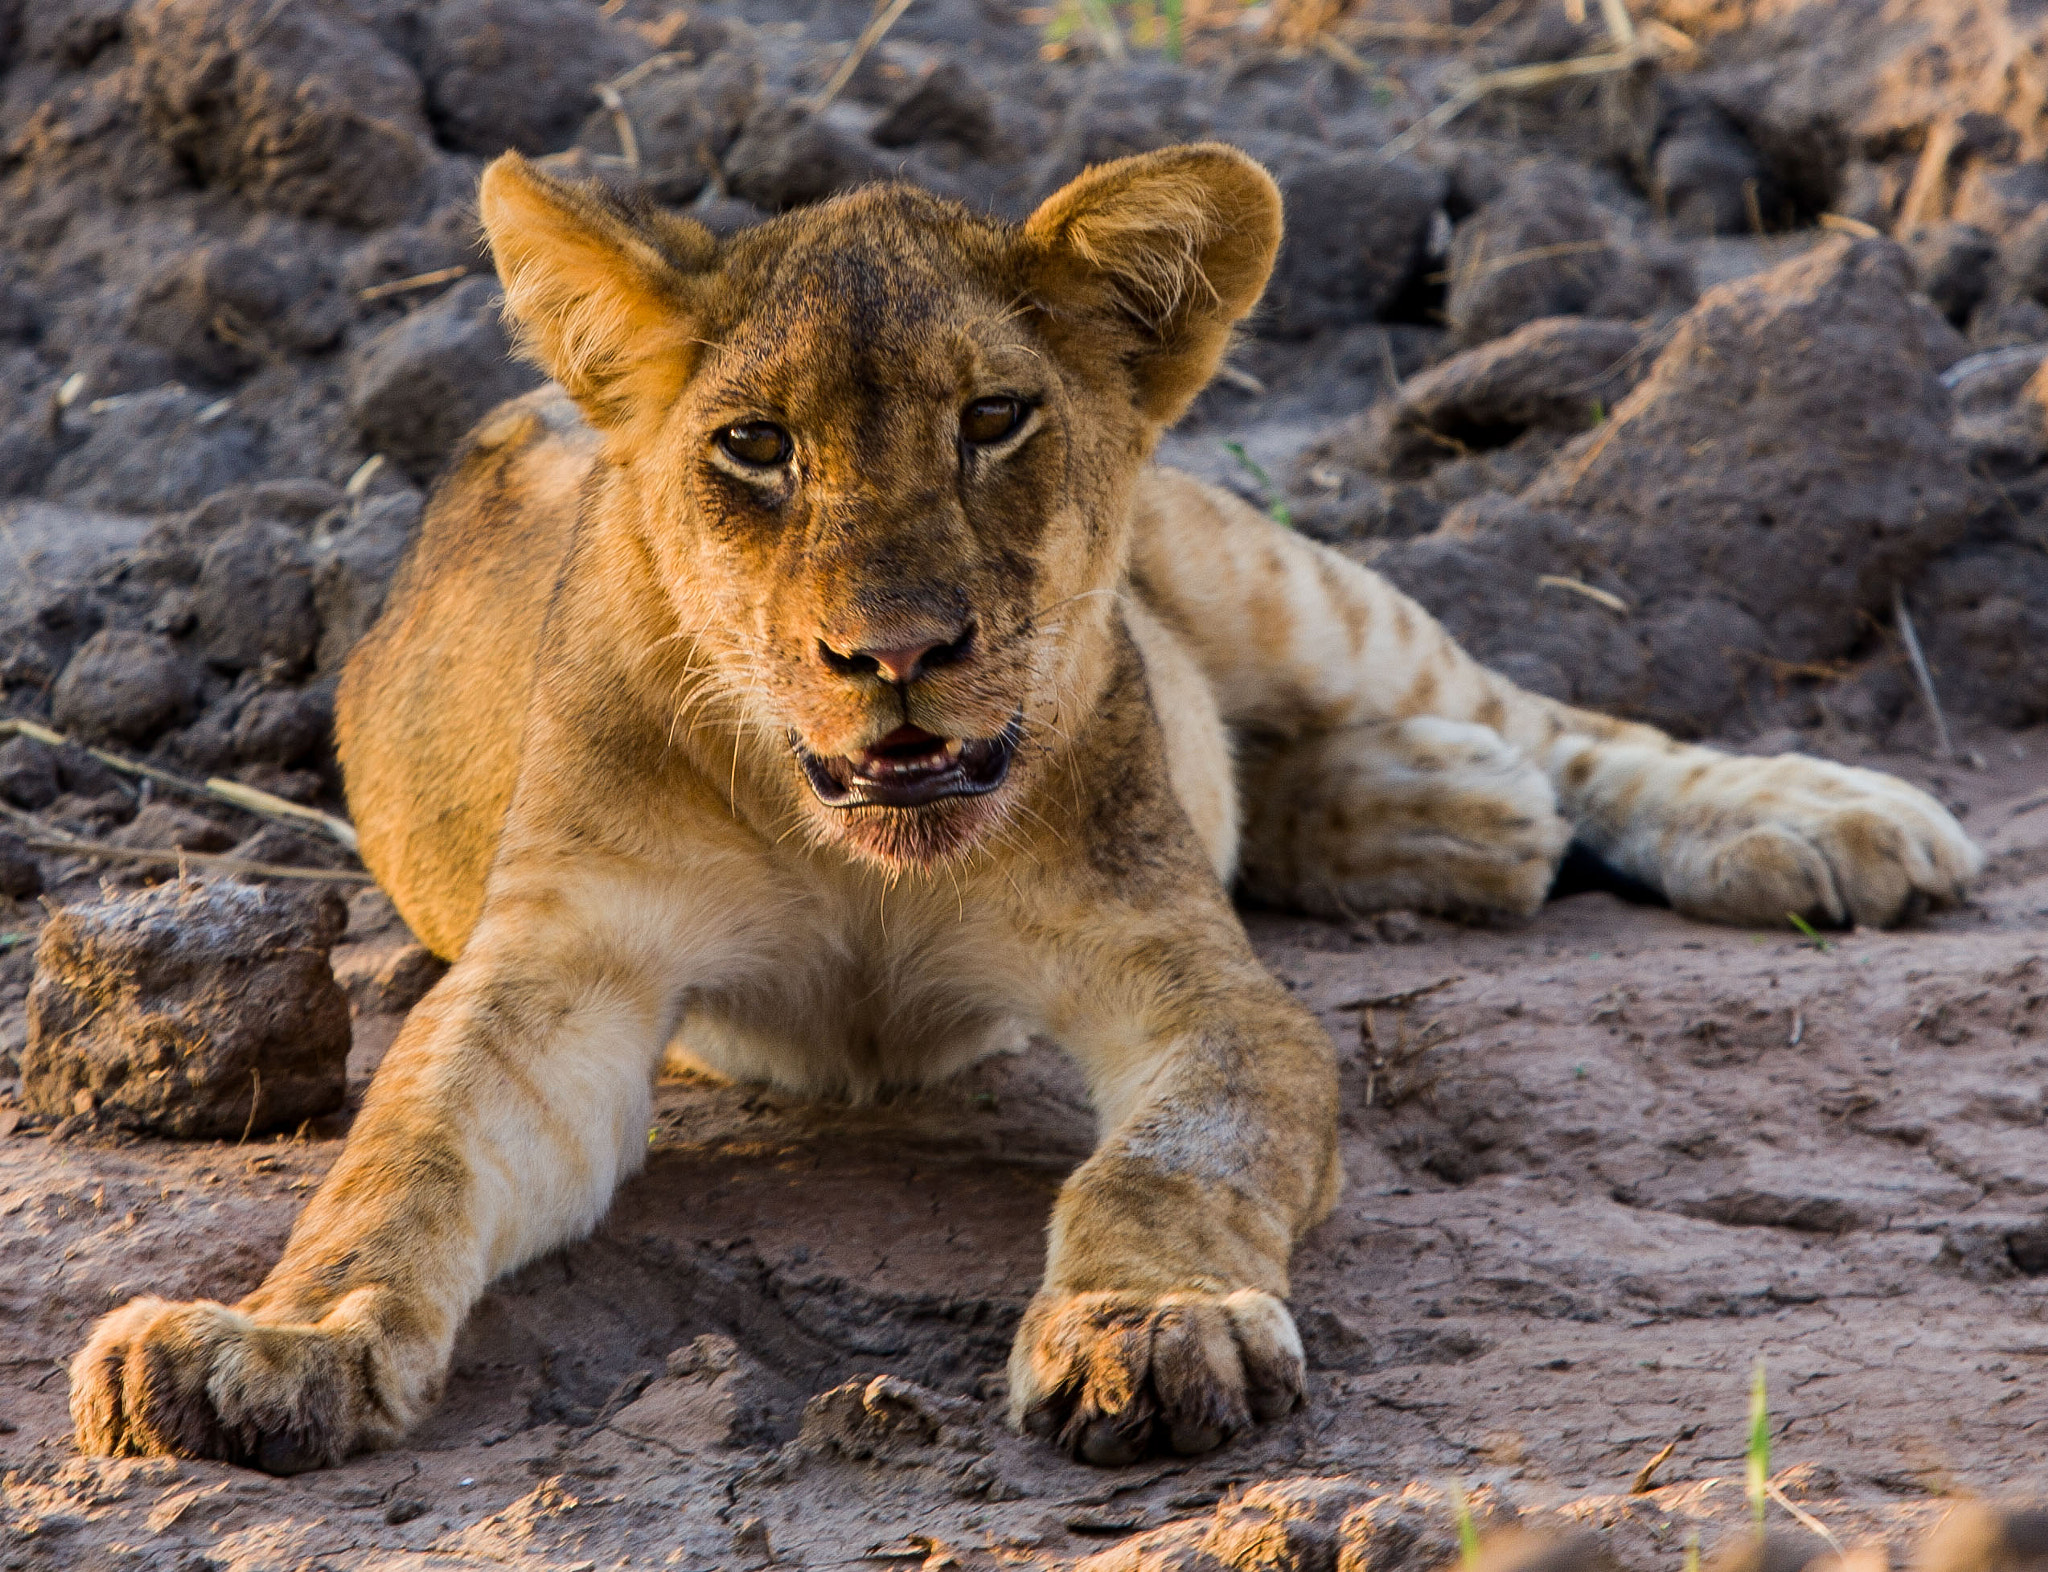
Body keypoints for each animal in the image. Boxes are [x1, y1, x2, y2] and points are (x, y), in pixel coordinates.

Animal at [69, 144, 1981, 1474]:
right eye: (753, 446)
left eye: (993, 419)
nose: (895, 654)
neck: (852, 852)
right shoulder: (563, 978)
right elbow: (403, 1157)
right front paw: (269, 1345)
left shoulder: (1184, 971)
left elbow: (1169, 1158)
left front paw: (1154, 1326)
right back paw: (1444, 820)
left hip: (1281, 584)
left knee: (1549, 717)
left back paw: (1810, 822)